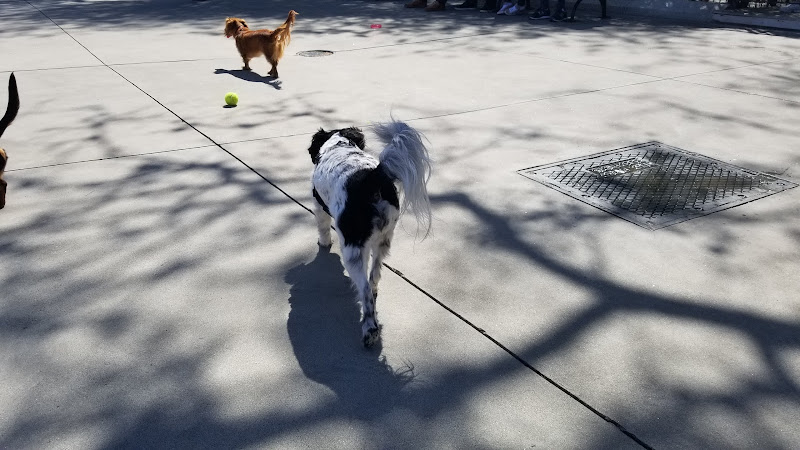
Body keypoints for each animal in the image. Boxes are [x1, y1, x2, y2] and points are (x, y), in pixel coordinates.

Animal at [306, 119, 432, 348]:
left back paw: (369, 329)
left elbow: (322, 228)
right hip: (384, 240)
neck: (339, 145)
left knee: (364, 289)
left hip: (353, 249)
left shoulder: (318, 206)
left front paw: (324, 243)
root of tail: (372, 178)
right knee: (374, 277)